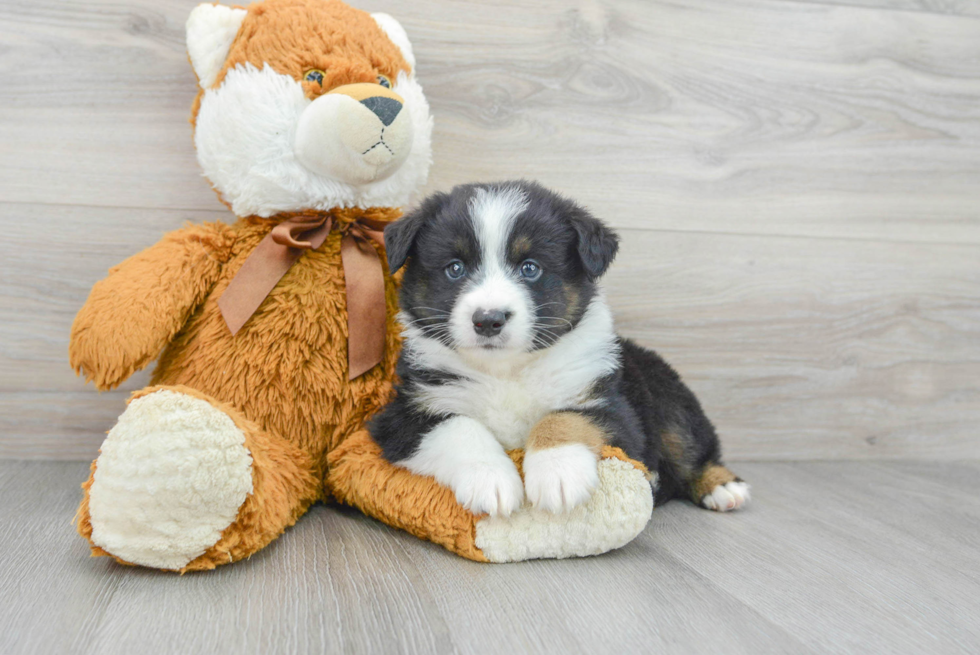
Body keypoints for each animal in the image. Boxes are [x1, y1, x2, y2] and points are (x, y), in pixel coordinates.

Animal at [370, 181, 752, 516]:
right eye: (455, 268)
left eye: (530, 268)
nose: (488, 320)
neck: (506, 371)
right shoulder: (402, 415)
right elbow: (461, 428)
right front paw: (491, 481)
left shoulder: (611, 408)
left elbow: (562, 418)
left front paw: (558, 475)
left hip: (668, 400)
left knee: (693, 447)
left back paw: (723, 487)